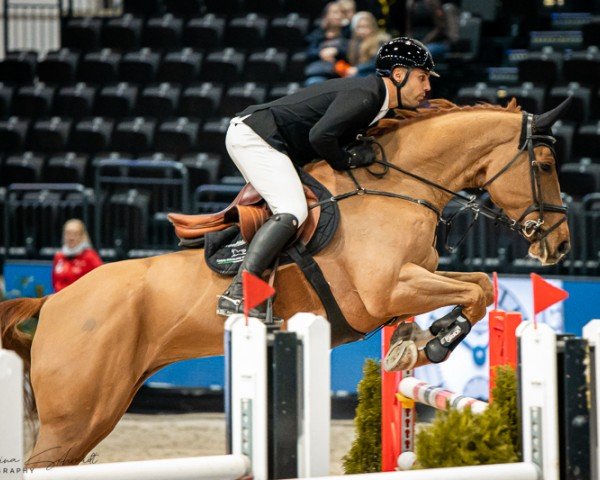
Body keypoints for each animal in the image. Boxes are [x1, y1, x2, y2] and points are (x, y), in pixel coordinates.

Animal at [1, 98, 572, 468]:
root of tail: (52, 303)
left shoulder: (415, 277)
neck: (397, 187)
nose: (561, 246)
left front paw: (413, 343)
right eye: (544, 164)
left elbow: (480, 285)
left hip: (96, 413)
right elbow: (474, 290)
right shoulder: (386, 290)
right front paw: (434, 344)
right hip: (76, 419)